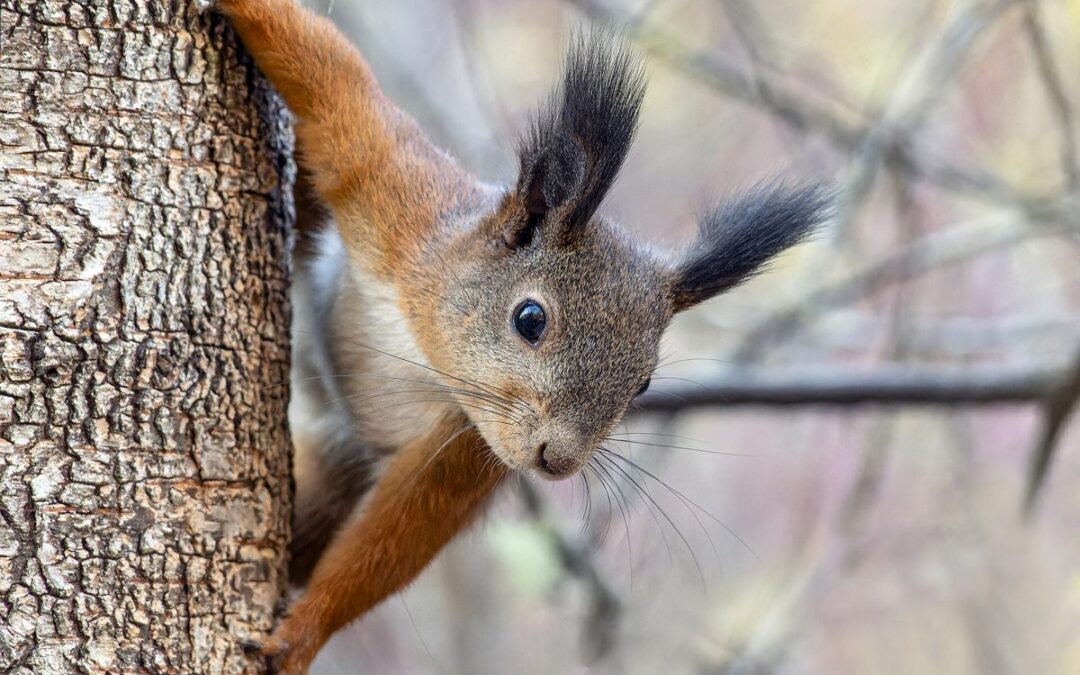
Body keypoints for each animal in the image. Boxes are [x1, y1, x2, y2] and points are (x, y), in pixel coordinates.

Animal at [203, 0, 830, 671]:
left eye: (643, 384)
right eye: (530, 319)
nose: (558, 461)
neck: (425, 349)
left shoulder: (467, 448)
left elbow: (404, 532)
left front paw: (303, 634)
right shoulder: (398, 197)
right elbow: (335, 83)